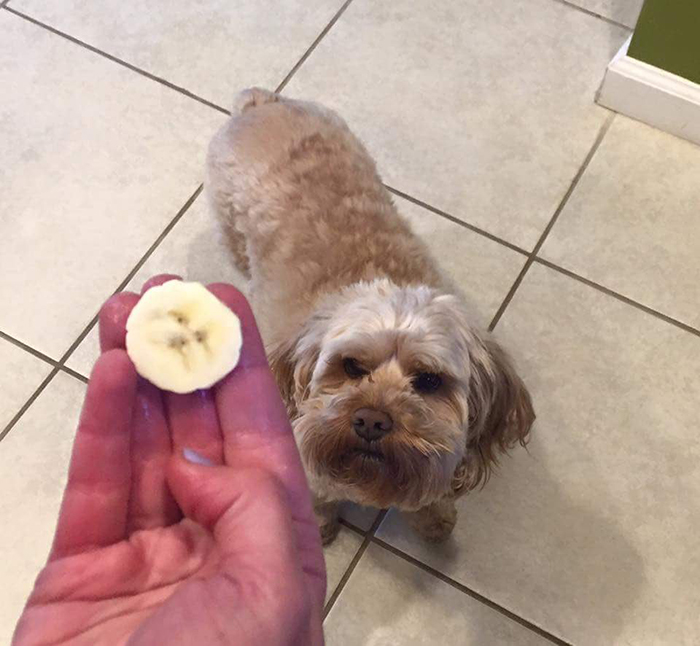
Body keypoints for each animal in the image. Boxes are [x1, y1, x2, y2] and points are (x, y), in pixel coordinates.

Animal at [205, 88, 532, 544]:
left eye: (429, 381)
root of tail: (265, 103)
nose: (372, 421)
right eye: (351, 366)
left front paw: (433, 515)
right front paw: (321, 525)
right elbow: (318, 494)